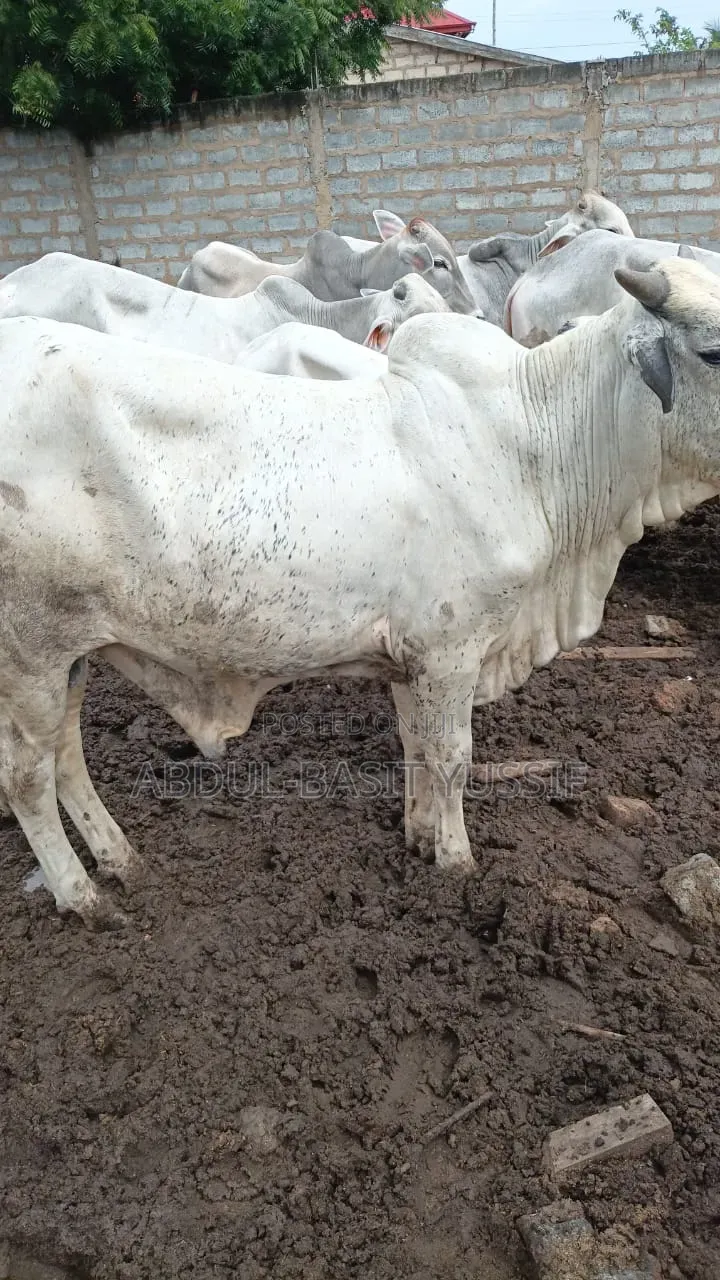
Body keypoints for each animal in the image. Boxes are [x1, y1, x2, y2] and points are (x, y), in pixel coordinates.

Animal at [1, 256, 719, 928]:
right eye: (711, 350)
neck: (532, 442)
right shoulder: (451, 651)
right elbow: (450, 756)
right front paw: (456, 863)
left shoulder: (412, 657)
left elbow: (415, 746)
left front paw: (420, 838)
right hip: (30, 657)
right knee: (27, 776)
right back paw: (82, 894)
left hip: (73, 653)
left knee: (66, 756)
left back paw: (120, 859)